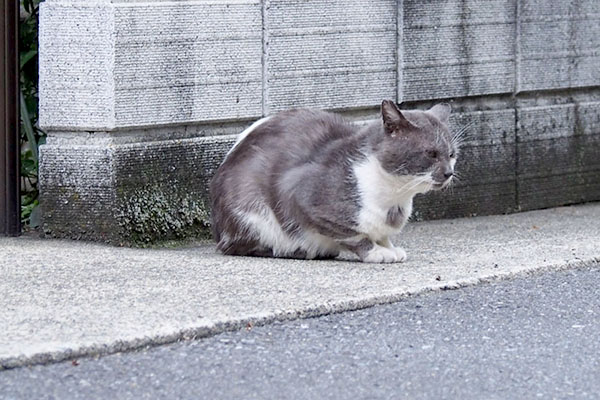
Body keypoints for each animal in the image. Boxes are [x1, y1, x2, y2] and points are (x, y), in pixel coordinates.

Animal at [209, 100, 458, 262]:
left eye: (452, 154)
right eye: (431, 154)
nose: (449, 173)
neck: (395, 196)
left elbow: (382, 234)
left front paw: (389, 247)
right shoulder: (302, 194)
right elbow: (354, 234)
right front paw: (376, 252)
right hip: (249, 208)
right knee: (238, 246)